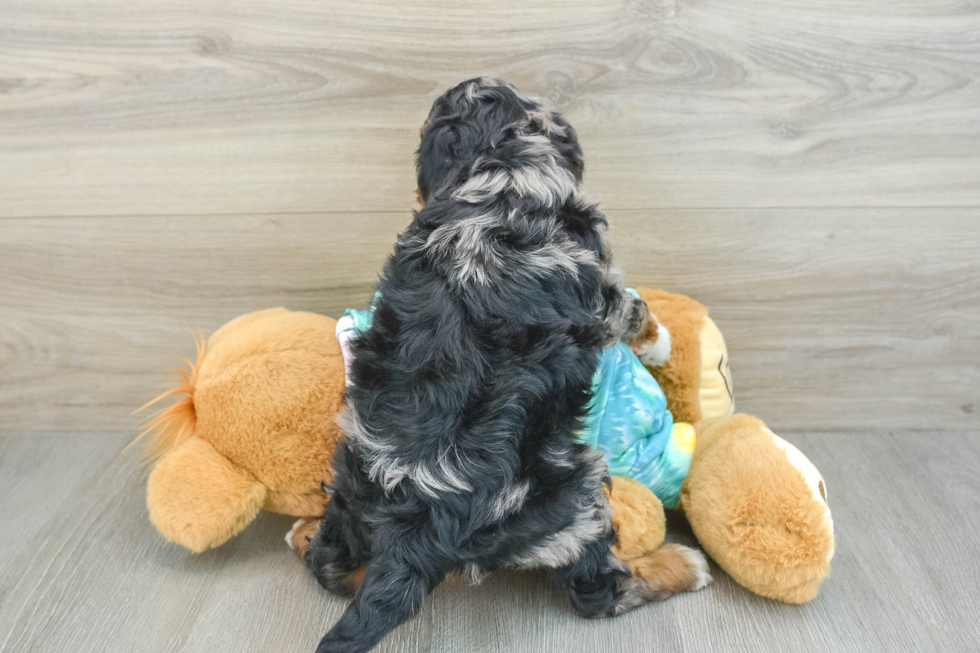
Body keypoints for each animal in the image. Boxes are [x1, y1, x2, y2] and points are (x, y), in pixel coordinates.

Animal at [304, 77, 704, 652]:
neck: (499, 162)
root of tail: (416, 533)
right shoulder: (599, 290)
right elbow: (633, 308)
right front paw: (660, 343)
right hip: (576, 502)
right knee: (599, 593)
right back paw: (681, 565)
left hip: (349, 495)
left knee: (331, 568)